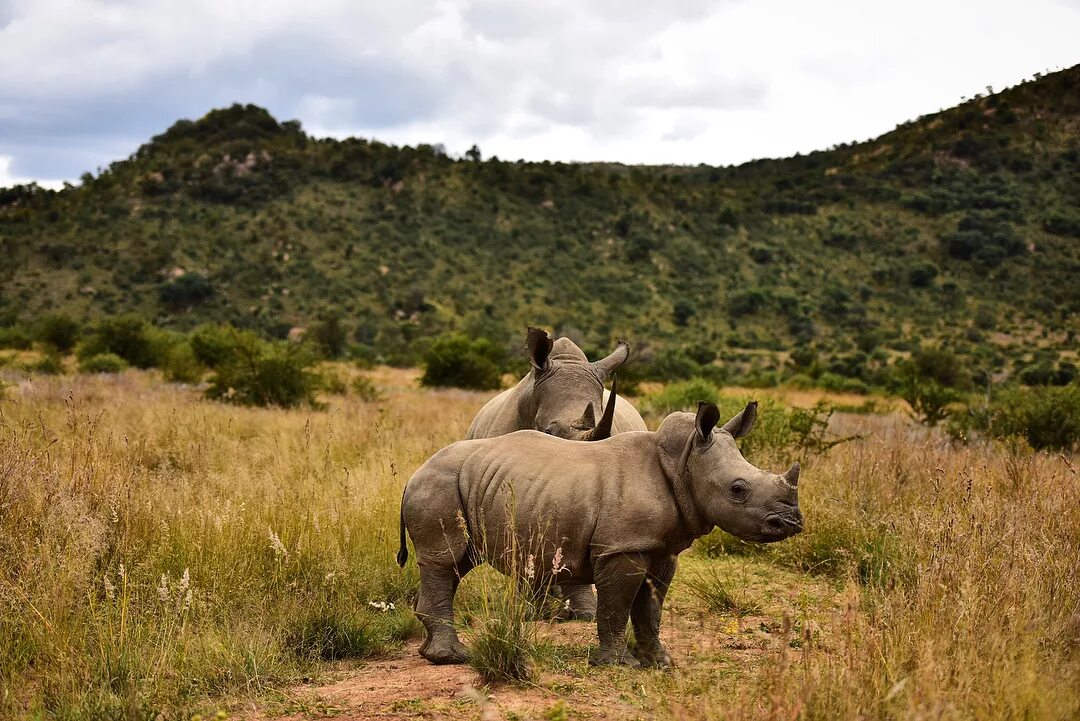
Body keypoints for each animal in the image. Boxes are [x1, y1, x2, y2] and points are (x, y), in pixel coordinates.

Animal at [397, 397, 803, 669]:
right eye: (737, 489)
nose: (792, 523)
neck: (681, 461)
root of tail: (414, 473)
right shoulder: (621, 546)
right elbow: (616, 607)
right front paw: (618, 664)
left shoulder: (661, 549)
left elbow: (650, 608)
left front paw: (660, 663)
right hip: (438, 483)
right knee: (445, 560)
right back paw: (453, 658)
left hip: (464, 484)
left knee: (456, 564)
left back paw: (436, 653)